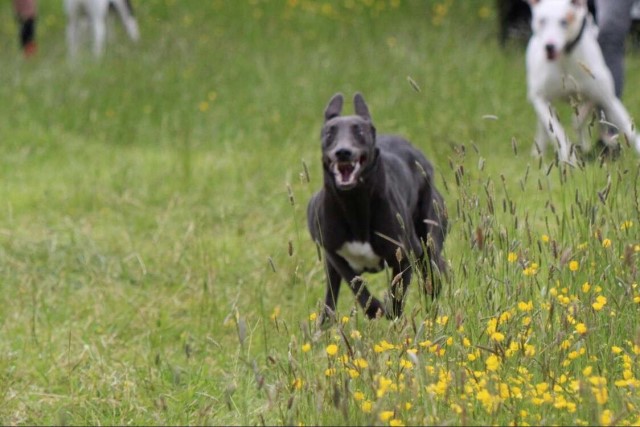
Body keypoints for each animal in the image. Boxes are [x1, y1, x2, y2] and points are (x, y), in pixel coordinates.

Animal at [308, 93, 448, 320]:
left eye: (360, 131)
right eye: (329, 132)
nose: (343, 152)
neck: (355, 203)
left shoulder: (405, 255)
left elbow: (396, 297)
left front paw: (391, 314)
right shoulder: (333, 253)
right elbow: (356, 285)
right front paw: (376, 309)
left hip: (429, 240)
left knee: (434, 274)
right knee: (330, 300)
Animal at [524, 0, 640, 163]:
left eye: (564, 21)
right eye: (542, 21)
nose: (549, 46)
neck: (566, 57)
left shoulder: (608, 99)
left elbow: (628, 128)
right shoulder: (540, 98)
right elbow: (556, 131)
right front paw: (568, 159)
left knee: (581, 117)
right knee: (546, 126)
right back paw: (538, 151)